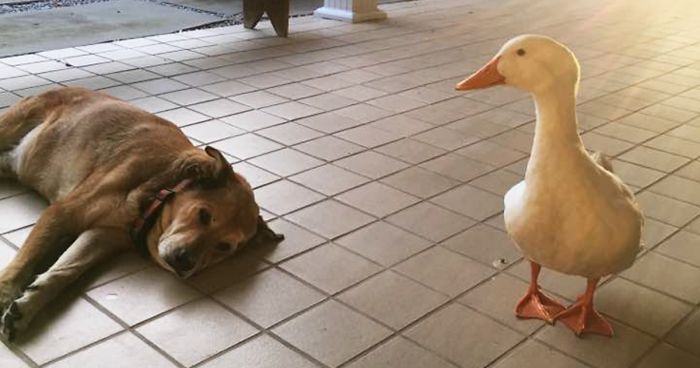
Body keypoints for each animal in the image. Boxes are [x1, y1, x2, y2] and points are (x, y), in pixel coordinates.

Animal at [0, 86, 282, 340]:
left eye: (224, 247)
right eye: (203, 214)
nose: (185, 262)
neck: (159, 190)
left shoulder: (103, 236)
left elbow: (66, 271)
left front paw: (27, 306)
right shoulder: (61, 214)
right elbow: (22, 264)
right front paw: (5, 294)